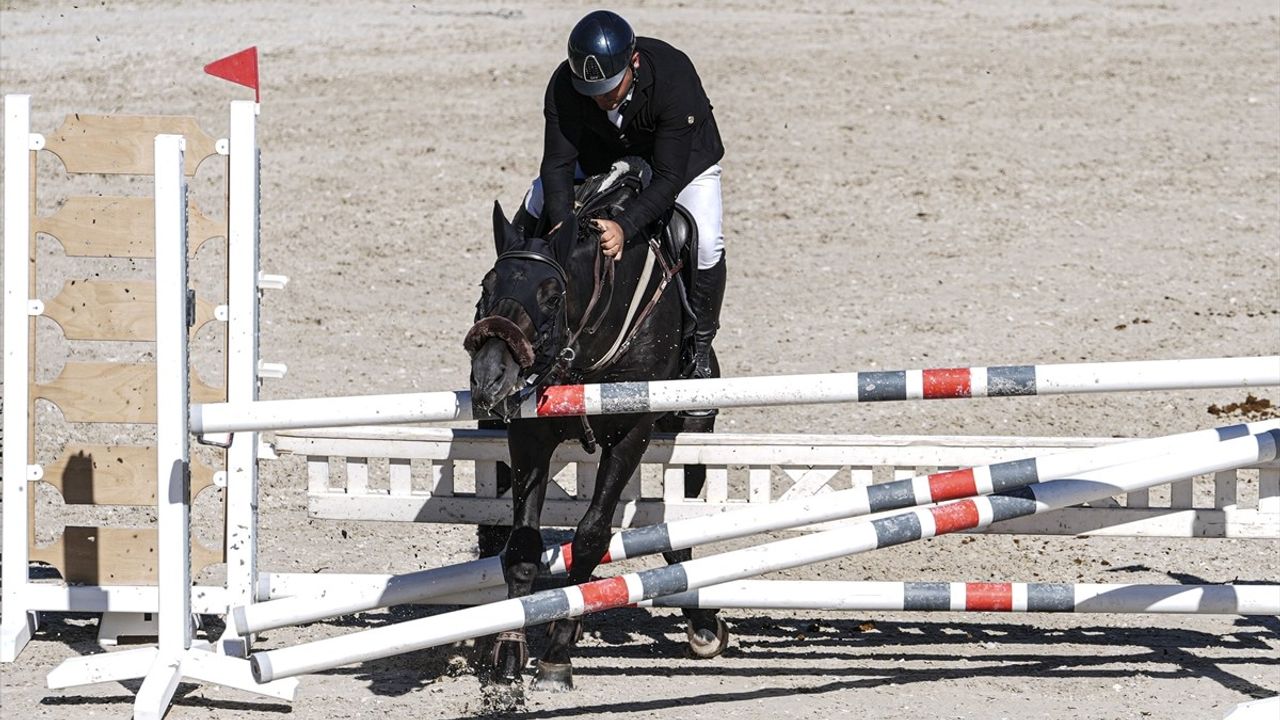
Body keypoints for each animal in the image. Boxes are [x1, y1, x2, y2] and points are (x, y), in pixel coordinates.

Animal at [468, 159, 732, 686]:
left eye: (552, 298)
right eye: (487, 287)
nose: (488, 381)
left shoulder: (631, 434)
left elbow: (591, 536)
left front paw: (556, 655)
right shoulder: (529, 435)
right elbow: (522, 544)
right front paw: (508, 647)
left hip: (693, 423)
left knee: (682, 526)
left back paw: (701, 623)